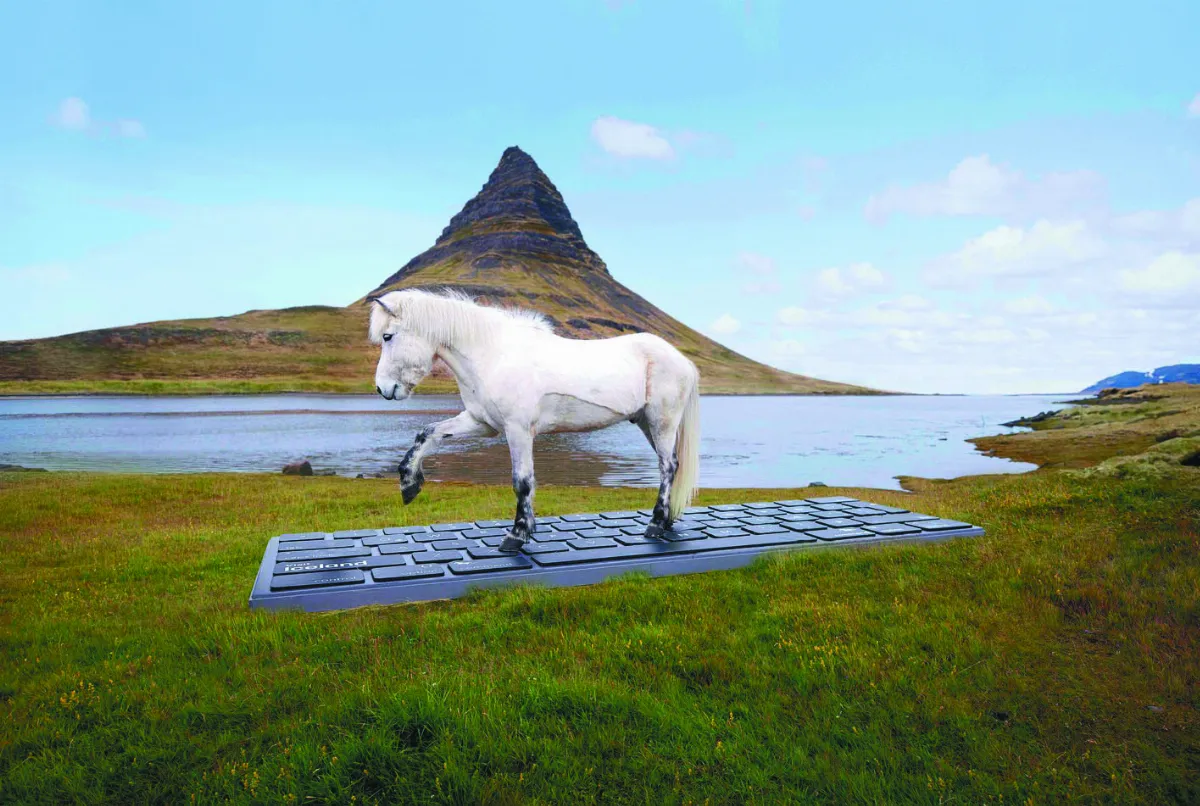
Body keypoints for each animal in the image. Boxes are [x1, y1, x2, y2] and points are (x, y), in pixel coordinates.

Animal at [367, 288, 701, 553]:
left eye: (387, 336)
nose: (382, 389)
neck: (493, 356)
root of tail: (682, 360)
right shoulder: (481, 423)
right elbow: (427, 433)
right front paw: (409, 484)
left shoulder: (518, 431)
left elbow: (522, 481)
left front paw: (517, 534)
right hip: (647, 424)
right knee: (672, 464)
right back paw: (666, 521)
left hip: (662, 422)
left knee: (667, 467)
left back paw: (656, 523)